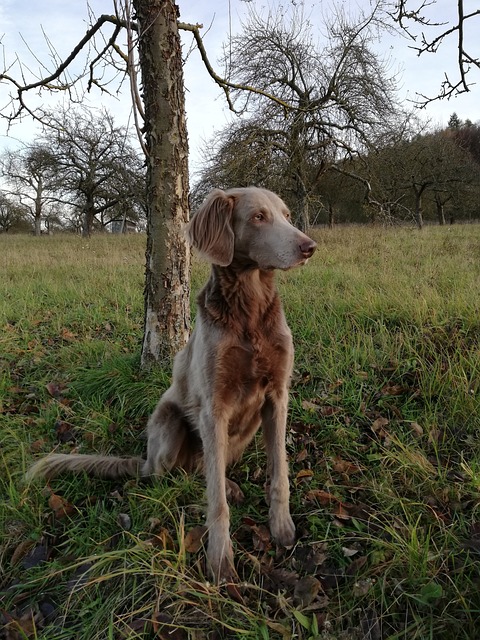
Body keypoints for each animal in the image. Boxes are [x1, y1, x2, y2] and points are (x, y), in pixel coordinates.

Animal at [28, 188, 316, 584]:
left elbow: (280, 473)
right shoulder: (213, 409)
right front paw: (220, 560)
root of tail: (144, 458)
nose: (309, 247)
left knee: (204, 468)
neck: (250, 311)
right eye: (258, 217)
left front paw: (282, 527)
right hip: (169, 427)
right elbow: (216, 503)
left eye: (287, 215)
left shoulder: (277, 396)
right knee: (178, 474)